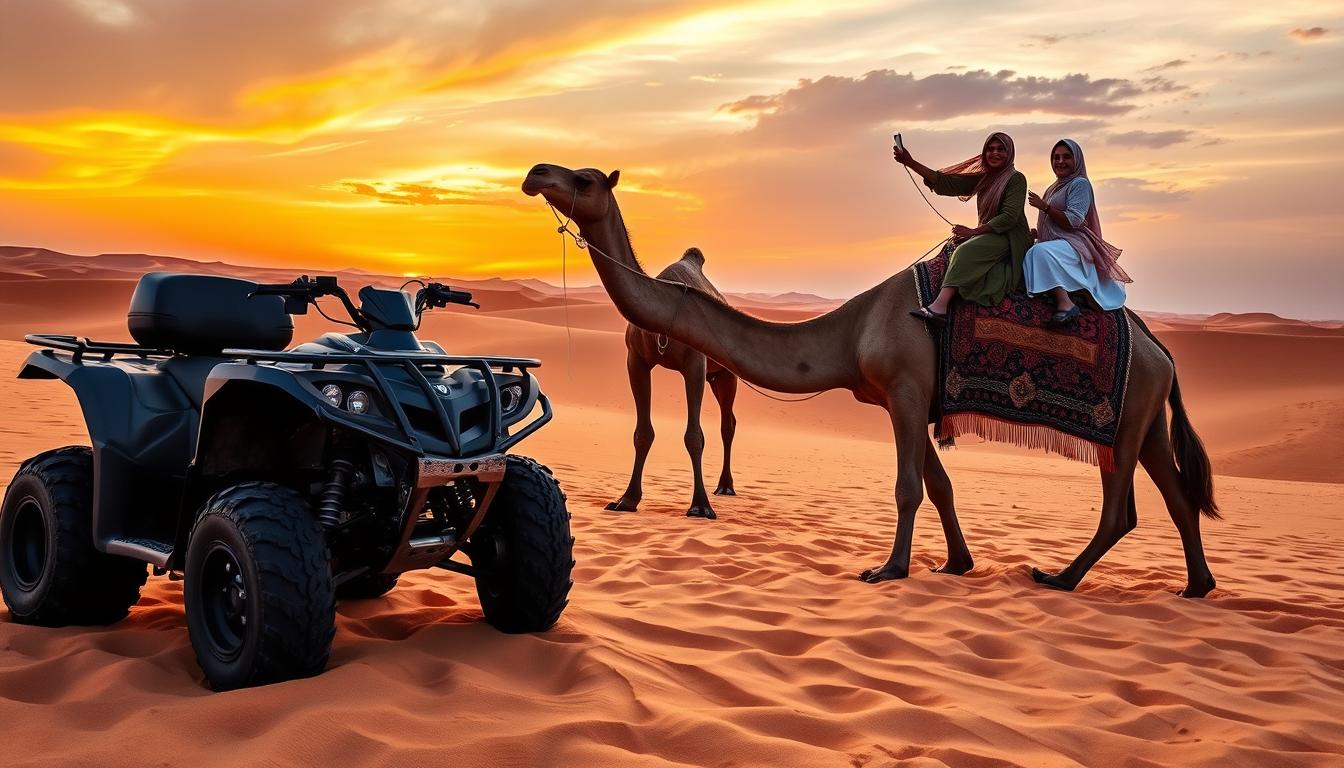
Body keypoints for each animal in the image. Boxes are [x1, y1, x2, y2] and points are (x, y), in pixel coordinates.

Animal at [606, 246, 739, 520]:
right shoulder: (636, 360)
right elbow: (642, 433)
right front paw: (627, 499)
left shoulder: (695, 365)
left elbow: (695, 436)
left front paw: (700, 505)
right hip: (713, 377)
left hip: (727, 374)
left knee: (727, 424)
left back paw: (725, 486)